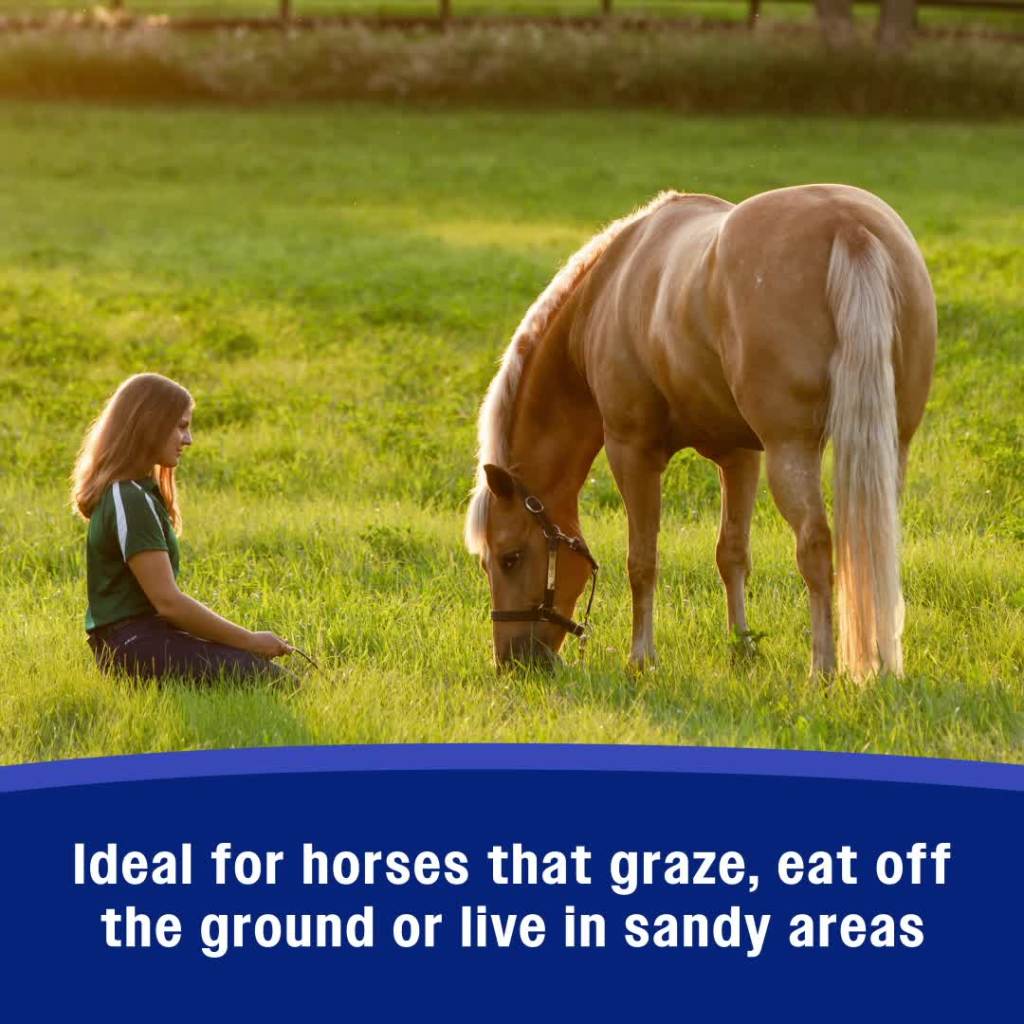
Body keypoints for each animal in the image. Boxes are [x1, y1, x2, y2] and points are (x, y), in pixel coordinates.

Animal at [465, 185, 935, 679]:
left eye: (509, 557)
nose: (514, 661)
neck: (605, 292)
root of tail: (848, 227)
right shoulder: (741, 455)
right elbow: (732, 553)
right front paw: (742, 647)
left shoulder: (633, 451)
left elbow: (642, 560)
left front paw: (642, 658)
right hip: (888, 448)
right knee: (874, 547)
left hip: (792, 451)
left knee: (815, 546)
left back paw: (822, 669)